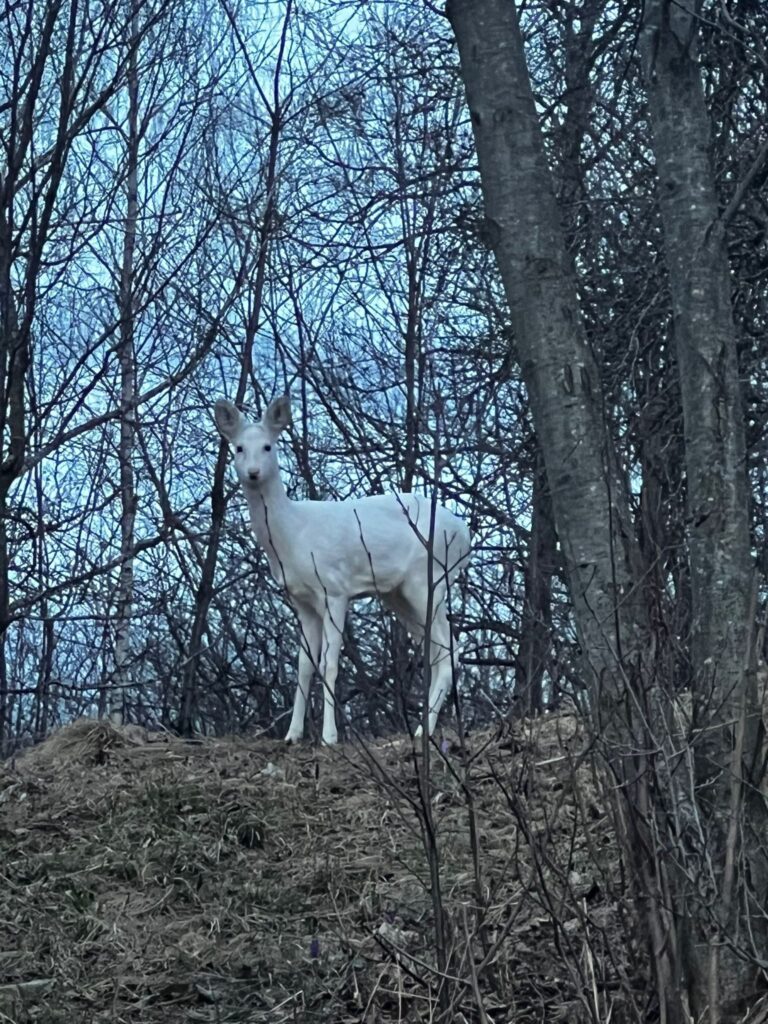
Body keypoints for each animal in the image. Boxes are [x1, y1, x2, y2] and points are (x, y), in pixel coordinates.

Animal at [214, 393, 473, 745]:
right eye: (239, 447)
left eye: (268, 446)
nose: (253, 472)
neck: (292, 535)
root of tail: (465, 534)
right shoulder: (302, 601)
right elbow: (304, 665)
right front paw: (292, 735)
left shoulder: (334, 589)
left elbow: (329, 664)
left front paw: (328, 737)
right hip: (399, 594)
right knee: (436, 651)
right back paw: (422, 728)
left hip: (428, 578)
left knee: (449, 649)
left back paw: (423, 731)